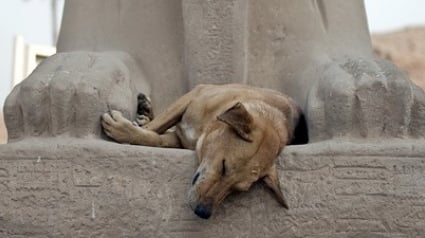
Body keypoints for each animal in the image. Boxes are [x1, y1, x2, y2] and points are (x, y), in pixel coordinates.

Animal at [102, 83, 308, 219]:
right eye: (224, 166)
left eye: (238, 189)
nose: (202, 212)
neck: (206, 128)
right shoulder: (193, 95)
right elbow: (157, 126)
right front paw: (124, 129)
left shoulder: (178, 140)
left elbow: (155, 138)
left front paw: (130, 131)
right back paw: (144, 111)